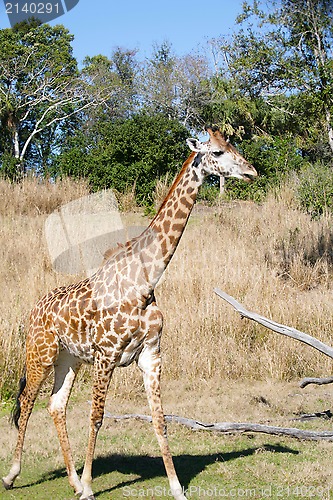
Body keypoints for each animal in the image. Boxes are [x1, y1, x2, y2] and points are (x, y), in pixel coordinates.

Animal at [1, 126, 256, 500]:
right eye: (218, 152)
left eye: (232, 144)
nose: (251, 170)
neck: (145, 282)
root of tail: (33, 310)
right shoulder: (106, 355)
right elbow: (96, 417)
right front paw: (90, 487)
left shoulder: (151, 354)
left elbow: (160, 419)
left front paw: (177, 488)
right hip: (40, 353)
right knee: (27, 401)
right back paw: (13, 474)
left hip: (69, 360)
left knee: (56, 405)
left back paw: (72, 480)